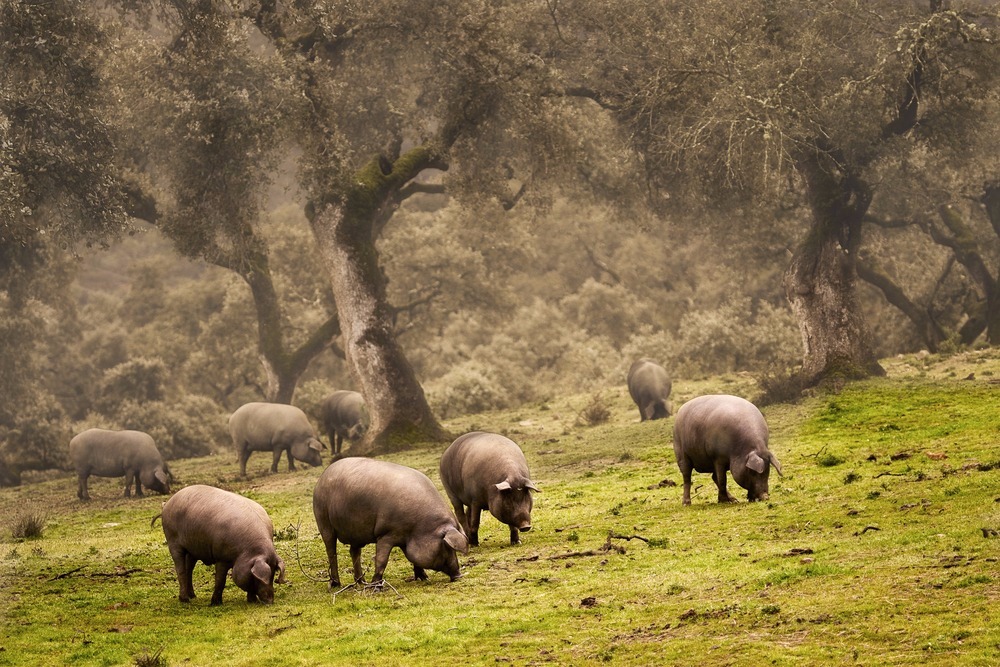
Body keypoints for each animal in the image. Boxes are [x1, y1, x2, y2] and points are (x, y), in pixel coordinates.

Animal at [154, 486, 286, 604]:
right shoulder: (222, 558)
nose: (270, 601)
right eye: (262, 578)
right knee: (180, 569)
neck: (246, 550)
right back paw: (185, 600)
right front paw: (215, 603)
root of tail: (167, 504)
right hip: (173, 540)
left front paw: (252, 601)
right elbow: (220, 580)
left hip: (193, 549)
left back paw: (193, 596)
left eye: (273, 574)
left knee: (189, 569)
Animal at [312, 456, 468, 588]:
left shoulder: (404, 539)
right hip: (323, 520)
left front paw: (424, 578)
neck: (418, 528)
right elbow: (382, 560)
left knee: (354, 551)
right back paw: (336, 584)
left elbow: (413, 559)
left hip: (355, 532)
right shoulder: (386, 534)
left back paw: (361, 582)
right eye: (446, 546)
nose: (459, 576)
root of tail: (322, 477)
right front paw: (376, 586)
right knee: (331, 551)